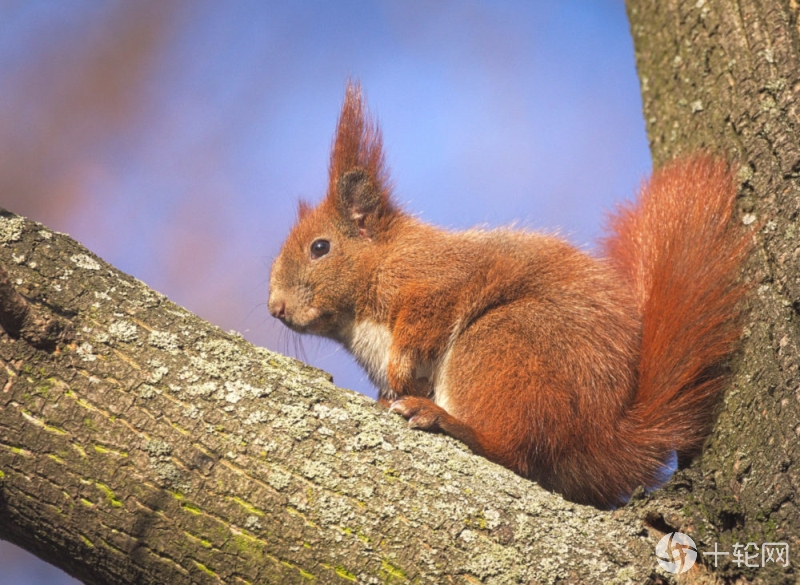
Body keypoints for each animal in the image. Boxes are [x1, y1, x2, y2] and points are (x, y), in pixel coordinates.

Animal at [268, 82, 752, 506]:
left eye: (319, 248)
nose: (275, 307)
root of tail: (601, 440)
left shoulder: (435, 281)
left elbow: (424, 321)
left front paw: (400, 371)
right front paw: (390, 390)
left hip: (501, 343)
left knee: (513, 450)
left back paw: (446, 421)